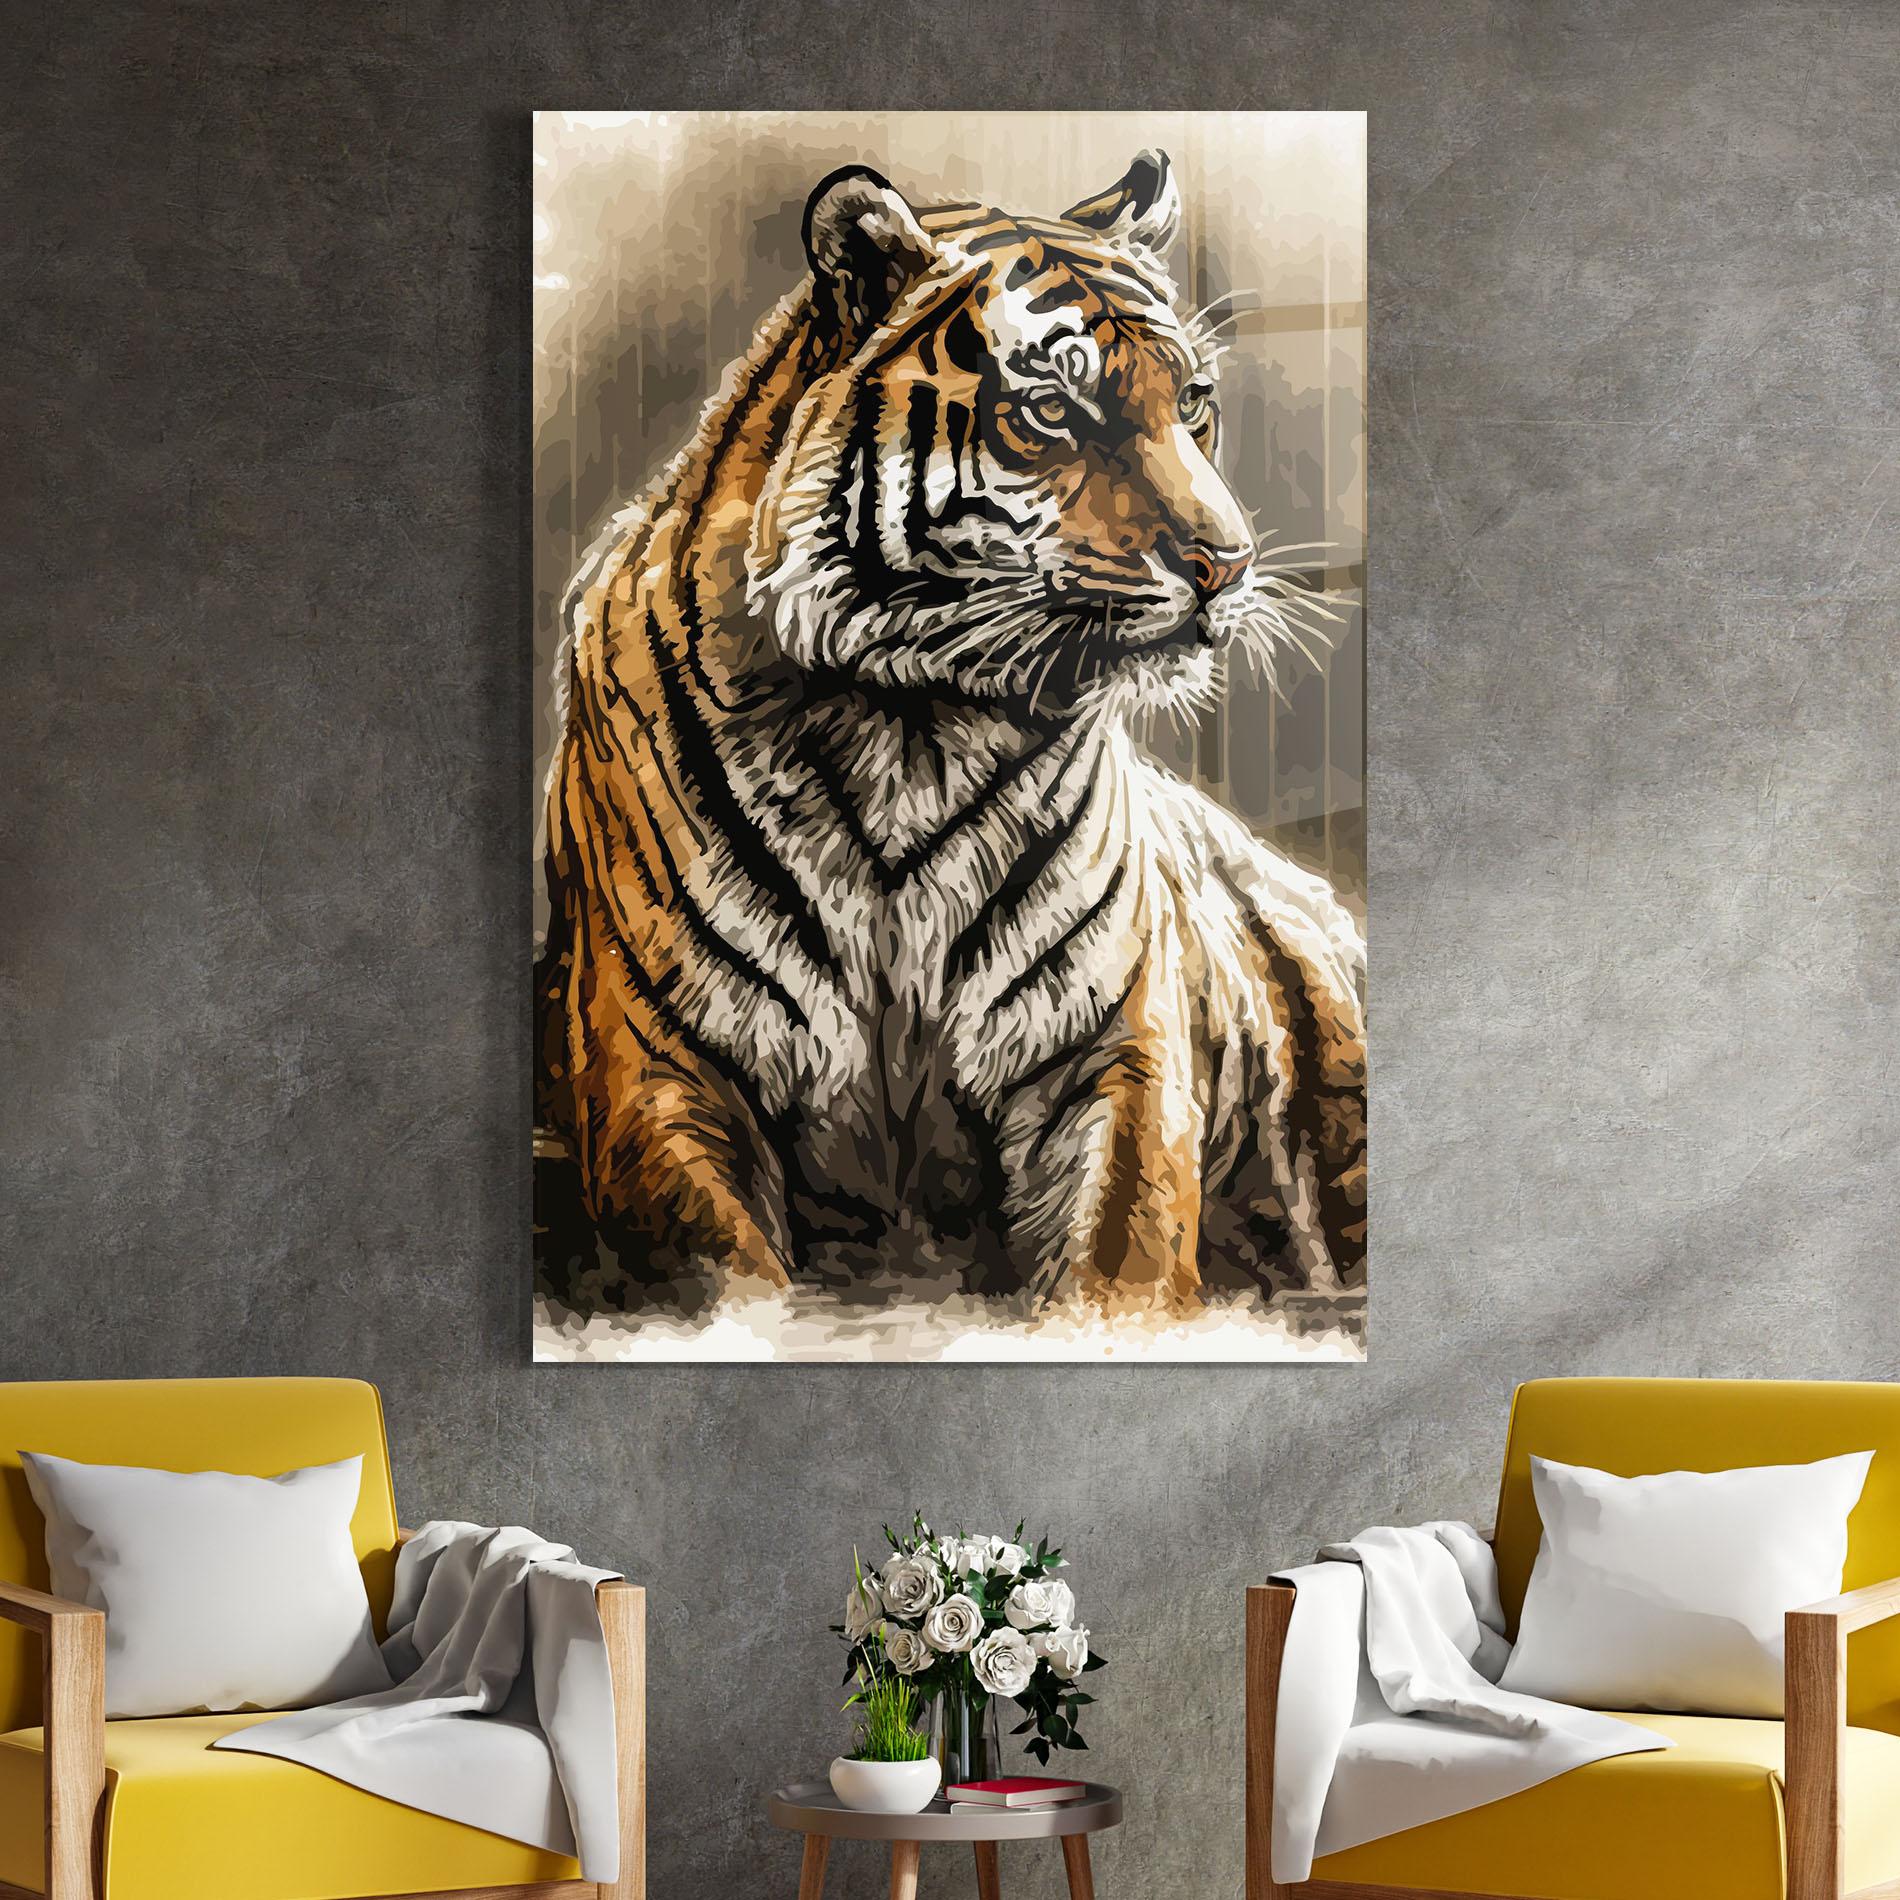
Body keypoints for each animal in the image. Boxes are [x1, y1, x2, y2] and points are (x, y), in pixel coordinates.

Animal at [535, 149, 1366, 1326]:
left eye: (1195, 402)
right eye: (1053, 410)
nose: (1228, 563)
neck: (908, 725)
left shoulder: (1115, 1051)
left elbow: (1117, 1262)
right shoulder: (657, 1065)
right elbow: (731, 1282)